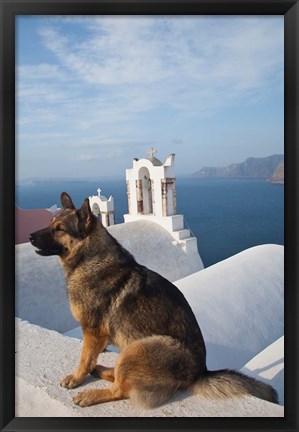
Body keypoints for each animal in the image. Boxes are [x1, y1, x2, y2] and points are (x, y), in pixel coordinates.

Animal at [29, 192, 280, 408]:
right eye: (50, 222)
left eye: (59, 229)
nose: (30, 236)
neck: (89, 258)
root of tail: (198, 373)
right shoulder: (98, 336)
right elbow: (91, 357)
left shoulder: (92, 331)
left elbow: (84, 359)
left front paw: (76, 378)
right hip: (131, 349)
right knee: (119, 376)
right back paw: (101, 370)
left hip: (140, 347)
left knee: (120, 389)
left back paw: (91, 394)